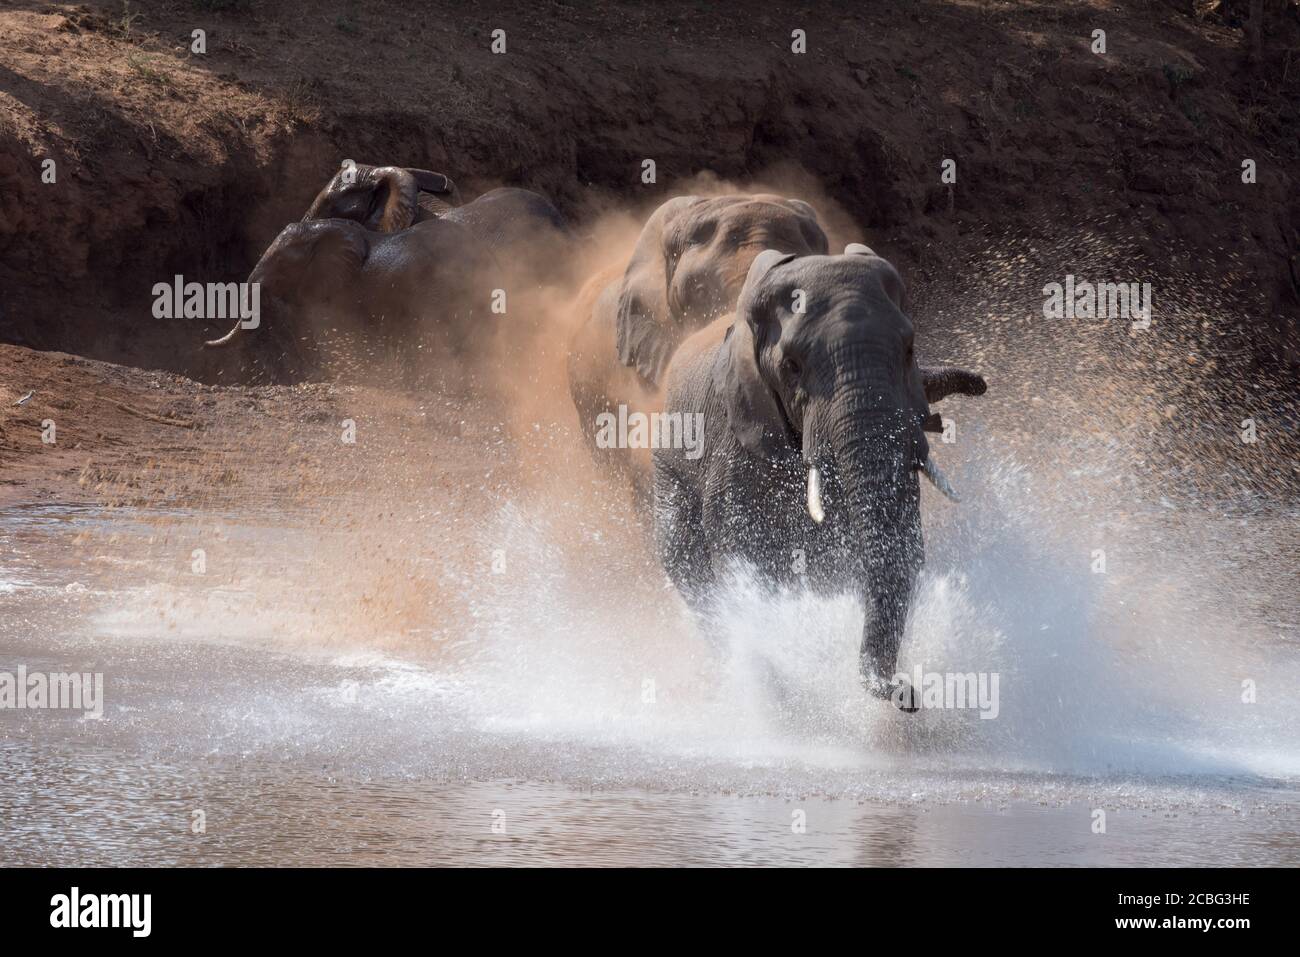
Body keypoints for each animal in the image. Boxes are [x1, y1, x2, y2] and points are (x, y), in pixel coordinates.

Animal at [651, 244, 988, 706]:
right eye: (792, 366)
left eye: (909, 349)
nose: (907, 693)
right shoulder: (736, 446)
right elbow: (747, 557)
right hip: (669, 480)